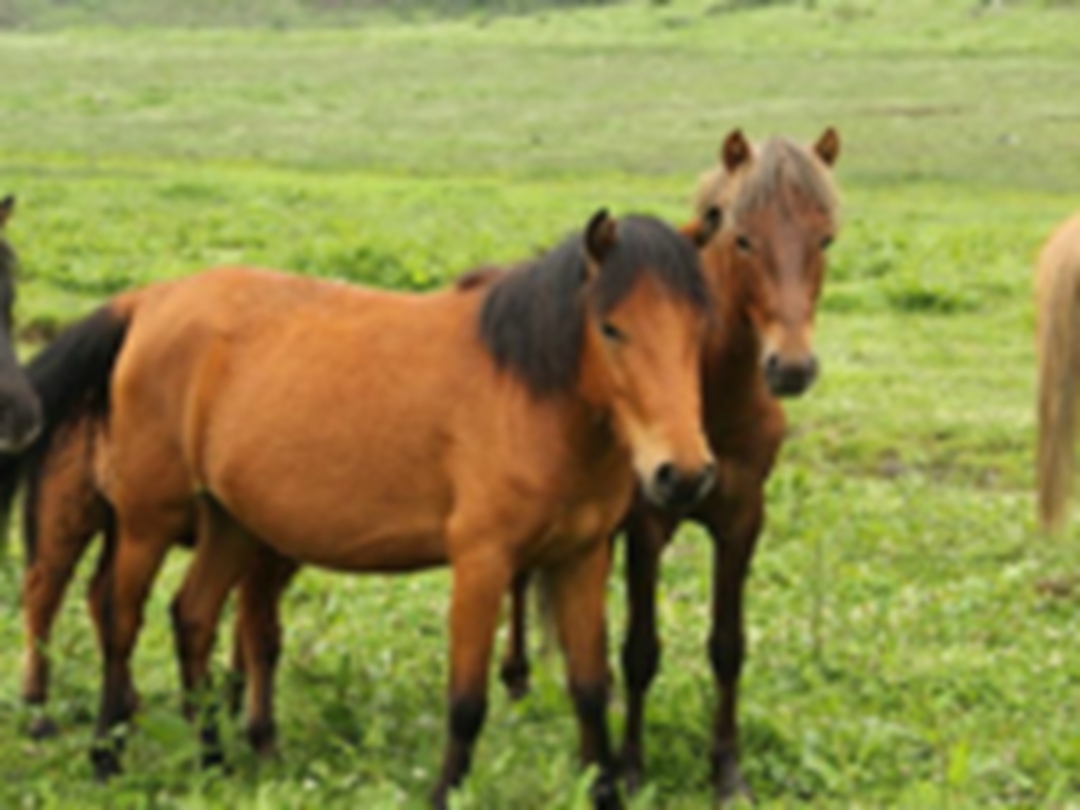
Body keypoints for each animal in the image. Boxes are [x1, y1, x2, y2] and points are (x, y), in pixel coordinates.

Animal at [25, 210, 718, 809]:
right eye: (611, 328)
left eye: (699, 331)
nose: (682, 474)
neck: (528, 392)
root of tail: (150, 301)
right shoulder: (483, 562)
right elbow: (467, 700)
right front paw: (446, 793)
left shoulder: (582, 559)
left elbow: (591, 690)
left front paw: (604, 791)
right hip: (148, 520)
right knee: (119, 621)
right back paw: (105, 757)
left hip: (231, 523)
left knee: (192, 617)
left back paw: (212, 760)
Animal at [497, 129, 841, 802]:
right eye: (743, 238)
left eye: (825, 239)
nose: (791, 367)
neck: (712, 394)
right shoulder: (647, 526)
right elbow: (640, 649)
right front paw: (631, 766)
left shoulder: (742, 519)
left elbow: (728, 645)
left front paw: (728, 772)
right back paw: (518, 675)